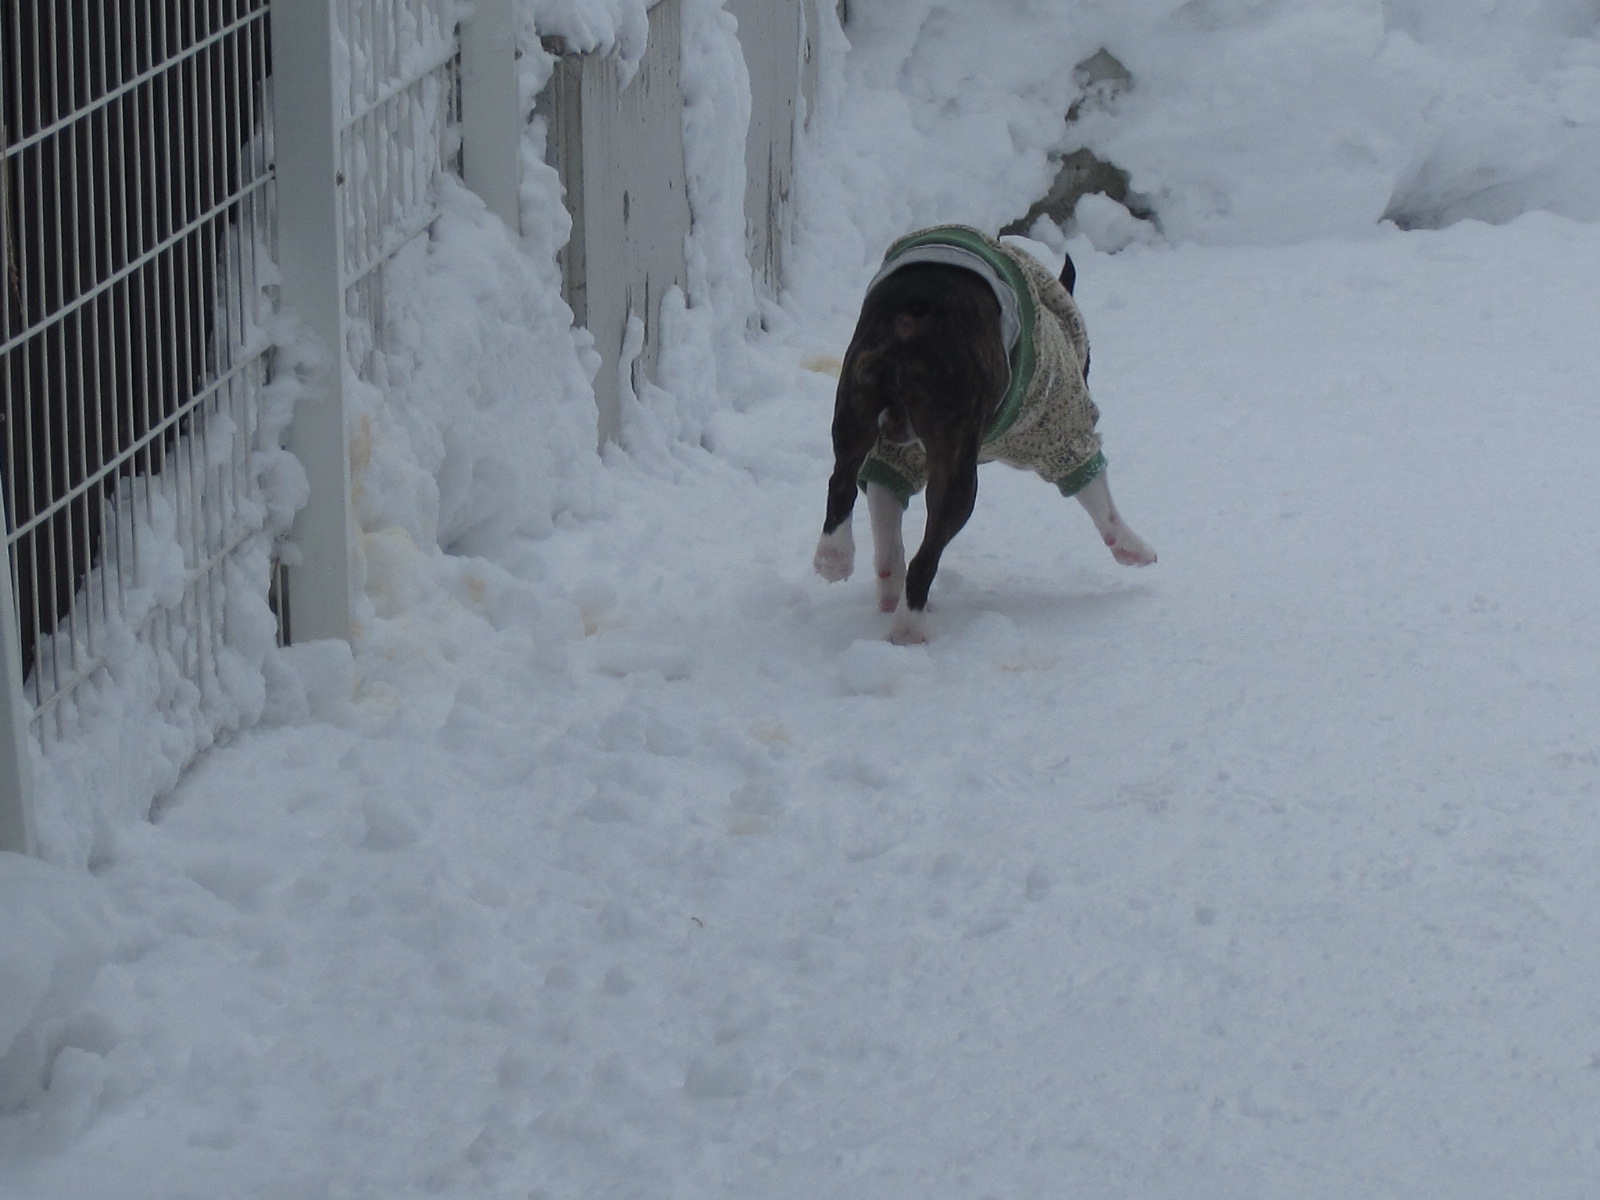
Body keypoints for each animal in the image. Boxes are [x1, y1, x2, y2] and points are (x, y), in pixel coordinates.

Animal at [812, 224, 1152, 643]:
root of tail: (915, 310)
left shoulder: (898, 454)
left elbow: (885, 518)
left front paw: (889, 583)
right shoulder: (1059, 427)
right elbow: (1098, 494)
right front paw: (1132, 547)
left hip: (857, 401)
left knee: (842, 479)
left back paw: (834, 557)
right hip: (958, 474)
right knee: (927, 556)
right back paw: (910, 627)